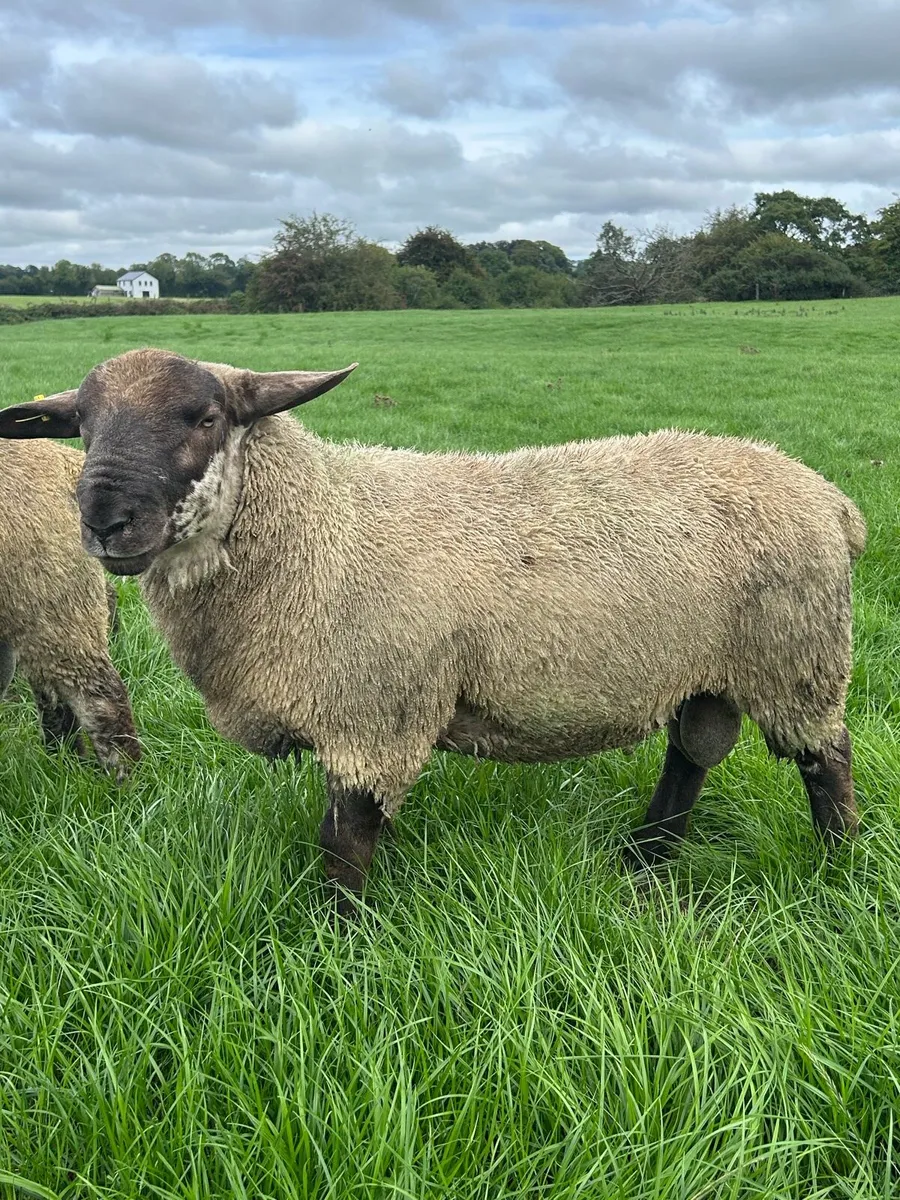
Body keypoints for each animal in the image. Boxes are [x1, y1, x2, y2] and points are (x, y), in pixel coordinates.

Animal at [0, 439, 140, 779]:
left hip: (48, 593)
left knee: (100, 698)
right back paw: (64, 762)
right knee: (52, 693)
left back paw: (125, 781)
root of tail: (66, 461)